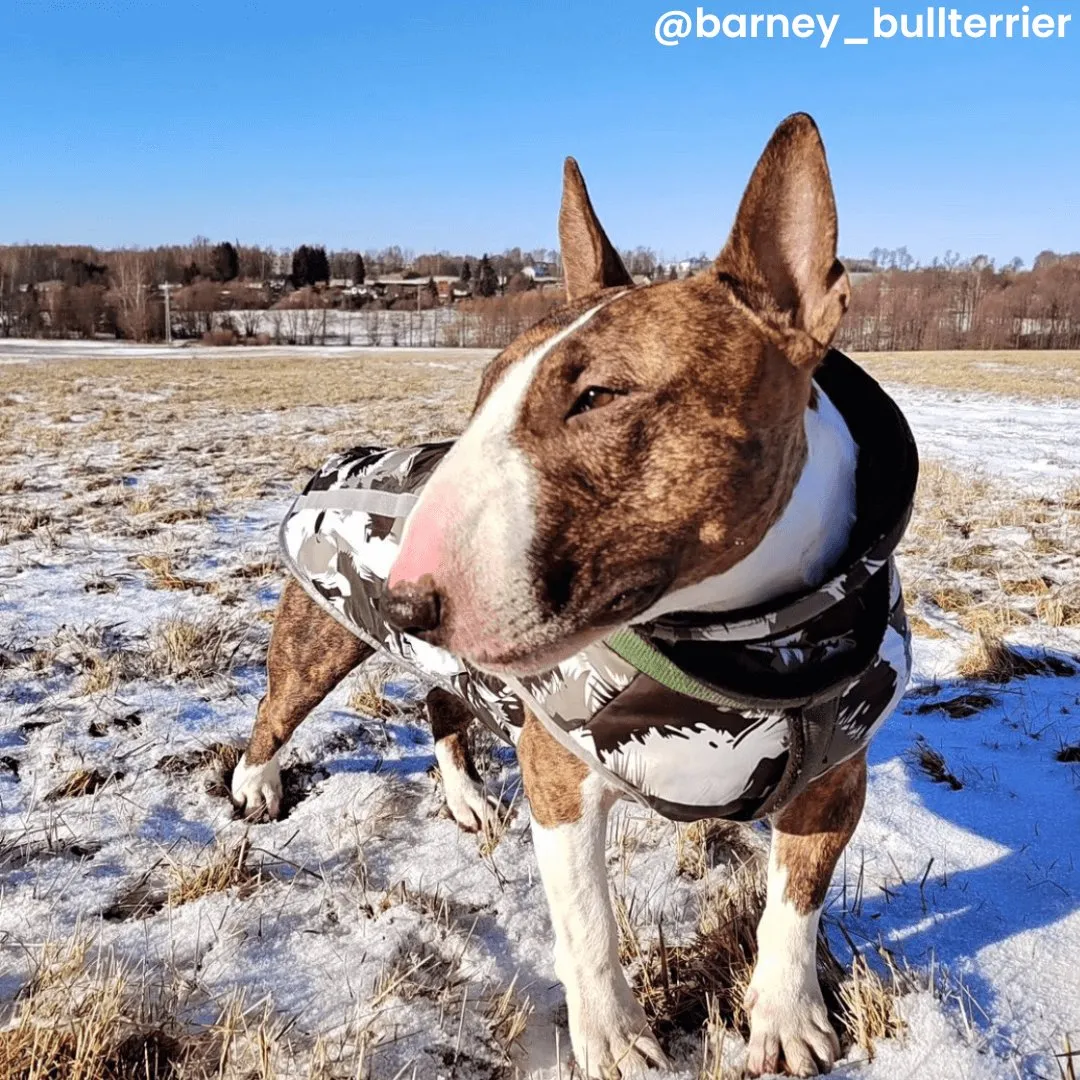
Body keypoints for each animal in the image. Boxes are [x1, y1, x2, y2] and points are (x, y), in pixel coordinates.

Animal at [232, 113, 915, 1075]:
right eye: (484, 393)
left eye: (598, 394)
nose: (404, 603)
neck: (752, 637)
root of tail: (345, 457)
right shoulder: (561, 774)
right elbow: (587, 921)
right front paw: (616, 1039)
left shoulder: (834, 772)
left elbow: (796, 903)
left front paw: (784, 1020)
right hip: (320, 639)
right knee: (277, 707)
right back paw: (256, 785)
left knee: (444, 705)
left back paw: (466, 797)